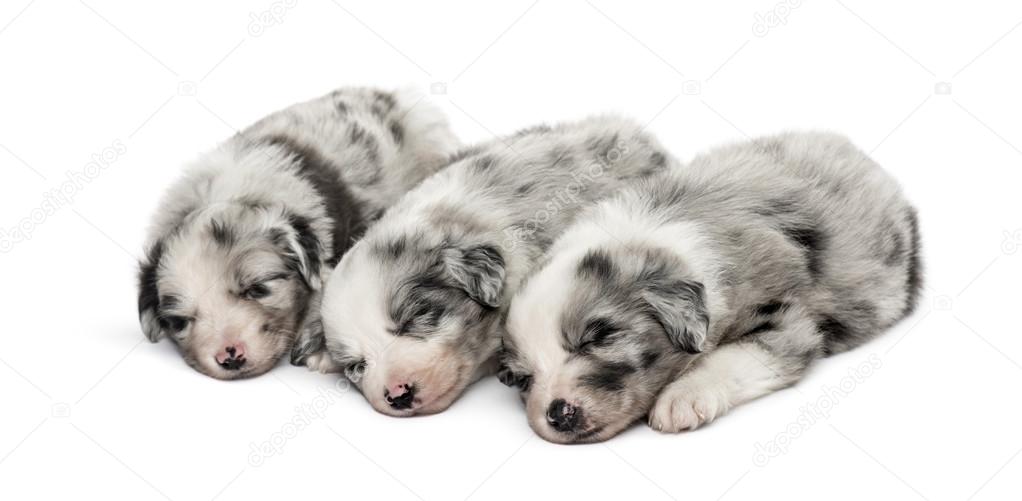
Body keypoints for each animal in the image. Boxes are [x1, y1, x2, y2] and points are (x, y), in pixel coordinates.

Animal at [498, 131, 923, 441]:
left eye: (598, 338)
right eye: (523, 378)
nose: (558, 414)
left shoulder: (790, 321)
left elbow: (730, 357)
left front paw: (680, 399)